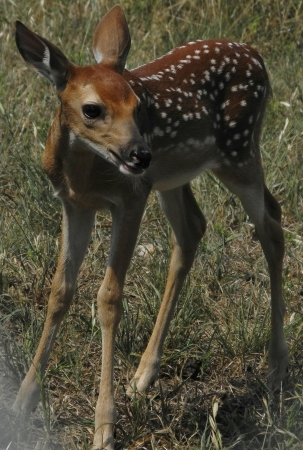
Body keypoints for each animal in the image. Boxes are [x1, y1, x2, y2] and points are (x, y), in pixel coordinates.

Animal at [14, 4, 290, 450]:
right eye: (92, 109)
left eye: (138, 106)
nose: (140, 154)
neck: (85, 173)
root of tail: (256, 54)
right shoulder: (75, 205)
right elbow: (60, 291)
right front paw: (22, 402)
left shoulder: (131, 198)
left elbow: (109, 298)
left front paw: (104, 426)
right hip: (175, 177)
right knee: (195, 229)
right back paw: (143, 376)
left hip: (238, 151)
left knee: (272, 228)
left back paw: (276, 366)